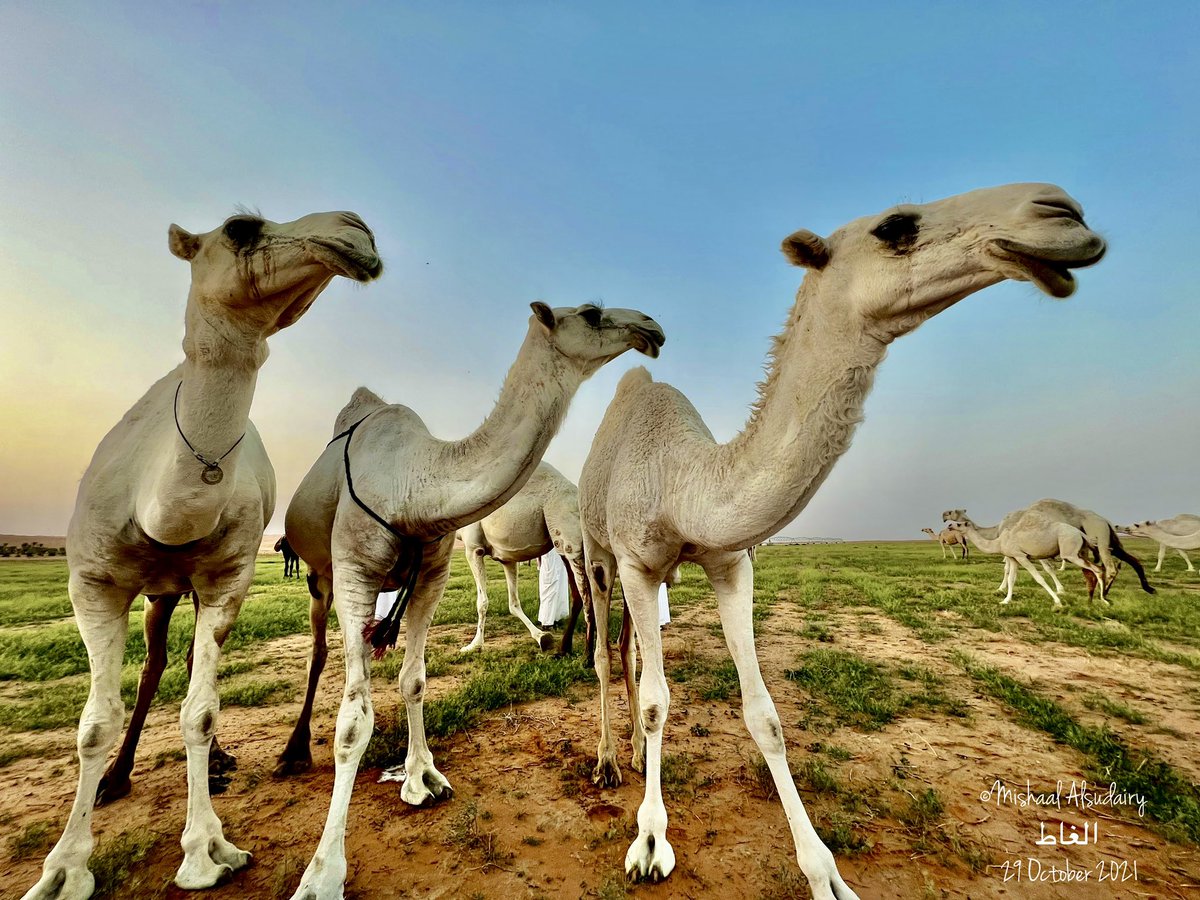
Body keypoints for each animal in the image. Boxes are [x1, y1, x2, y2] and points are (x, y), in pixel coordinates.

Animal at [22, 211, 382, 900]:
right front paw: (63, 869)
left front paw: (206, 849)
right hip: (159, 593)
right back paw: (117, 777)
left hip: (189, 586)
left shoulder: (225, 579)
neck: (161, 505)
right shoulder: (93, 582)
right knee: (154, 664)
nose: (356, 231)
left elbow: (202, 711)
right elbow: (94, 722)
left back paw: (212, 766)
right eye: (241, 227)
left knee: (189, 666)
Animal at [458, 461, 593, 659]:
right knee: (580, 593)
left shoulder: (473, 549)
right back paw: (564, 649)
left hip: (567, 532)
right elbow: (513, 603)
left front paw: (474, 645)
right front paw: (542, 638)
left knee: (589, 594)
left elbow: (482, 602)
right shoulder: (507, 559)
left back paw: (587, 657)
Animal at [578, 183, 1105, 898]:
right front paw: (651, 842)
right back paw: (609, 759)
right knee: (609, 655)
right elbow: (661, 700)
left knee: (630, 649)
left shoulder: (728, 561)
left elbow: (764, 714)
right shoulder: (637, 562)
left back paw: (633, 751)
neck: (685, 484)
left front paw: (825, 873)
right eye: (895, 226)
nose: (1061, 212)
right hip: (597, 552)